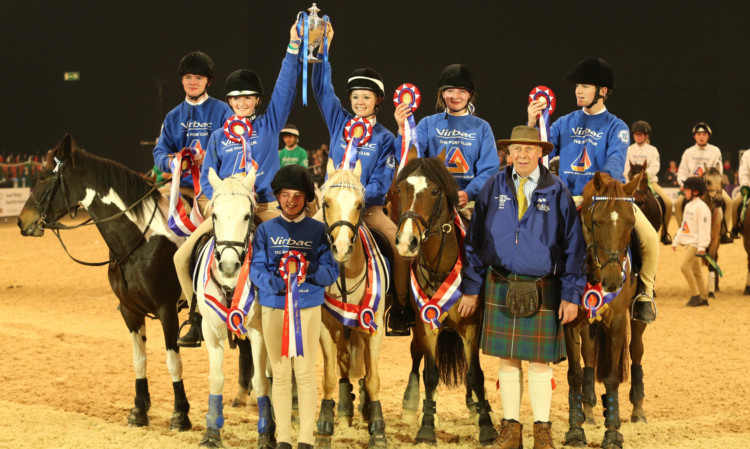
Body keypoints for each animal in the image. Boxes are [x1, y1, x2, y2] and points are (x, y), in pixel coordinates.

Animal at [20, 134, 192, 430]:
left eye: (43, 176)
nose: (22, 221)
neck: (139, 242)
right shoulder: (129, 310)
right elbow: (139, 359)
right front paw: (139, 410)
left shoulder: (167, 309)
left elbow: (173, 360)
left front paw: (180, 414)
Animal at [194, 169, 276, 448]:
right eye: (214, 215)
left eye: (246, 215)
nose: (229, 265)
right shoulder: (210, 331)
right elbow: (216, 379)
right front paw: (211, 433)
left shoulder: (259, 333)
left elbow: (261, 382)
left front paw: (266, 435)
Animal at [316, 160, 388, 448]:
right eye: (325, 202)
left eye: (360, 204)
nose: (342, 248)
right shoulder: (326, 328)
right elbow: (329, 378)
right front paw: (324, 427)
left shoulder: (373, 326)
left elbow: (373, 379)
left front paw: (378, 429)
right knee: (344, 367)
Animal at [394, 158, 500, 444]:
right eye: (401, 190)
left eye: (434, 192)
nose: (407, 242)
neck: (441, 268)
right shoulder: (426, 326)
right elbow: (430, 375)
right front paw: (427, 426)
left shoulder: (471, 327)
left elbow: (475, 374)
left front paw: (486, 425)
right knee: (415, 356)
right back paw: (411, 406)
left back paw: (478, 407)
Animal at [564, 171, 648, 448]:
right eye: (596, 222)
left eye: (631, 223)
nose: (612, 281)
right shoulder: (569, 320)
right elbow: (576, 374)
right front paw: (575, 430)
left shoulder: (618, 320)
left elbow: (612, 376)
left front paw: (612, 433)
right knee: (589, 357)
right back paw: (588, 412)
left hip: (636, 319)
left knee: (636, 350)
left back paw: (638, 410)